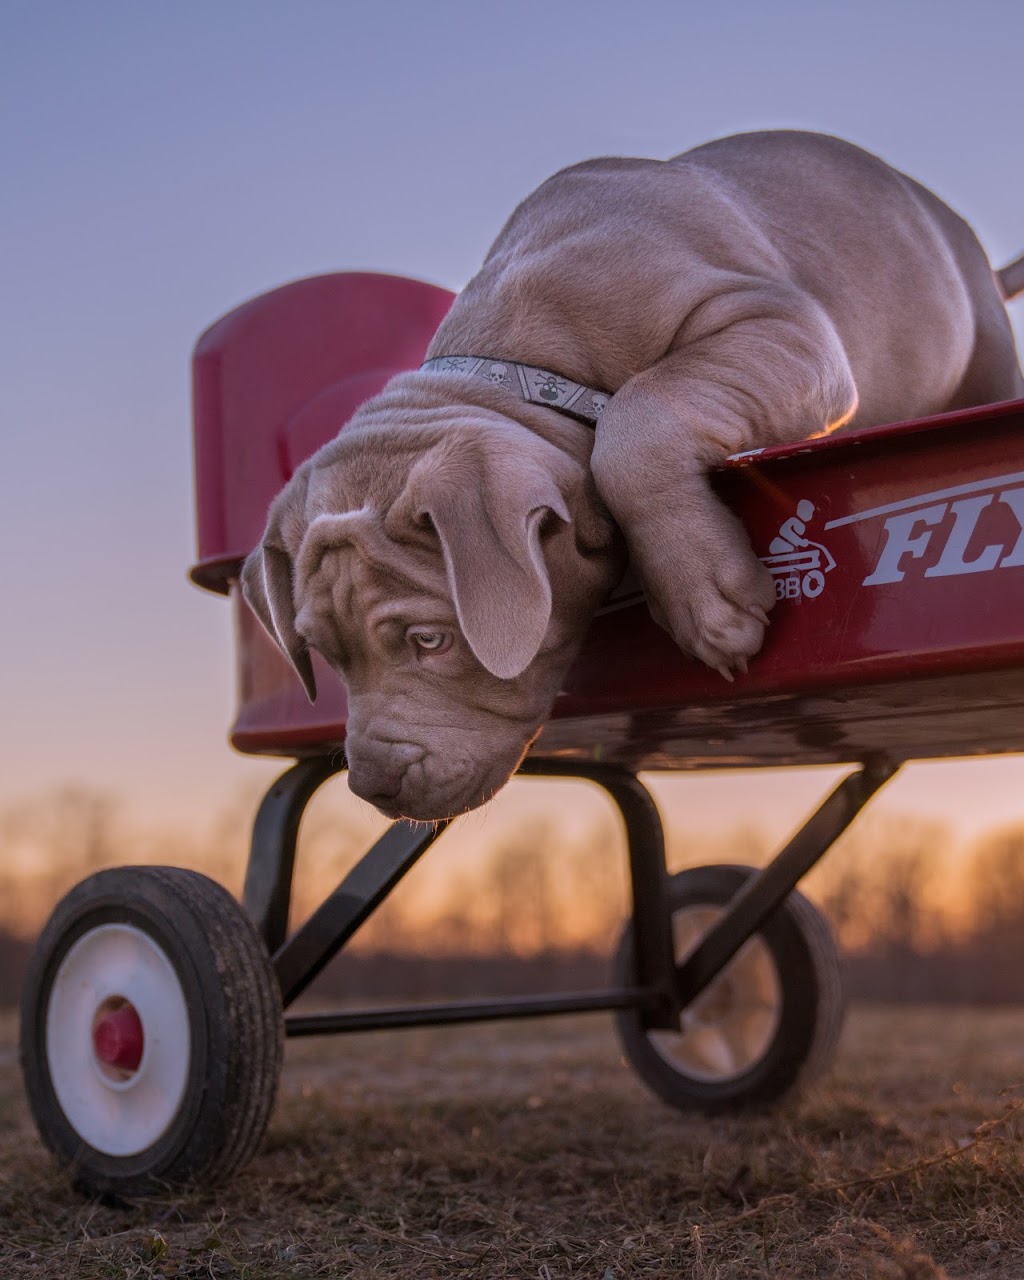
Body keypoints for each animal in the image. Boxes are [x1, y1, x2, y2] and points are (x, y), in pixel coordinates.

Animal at [241, 129, 1024, 819]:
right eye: (324, 654)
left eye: (431, 640)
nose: (371, 786)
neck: (528, 364)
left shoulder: (779, 324)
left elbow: (638, 418)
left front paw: (702, 598)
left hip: (978, 342)